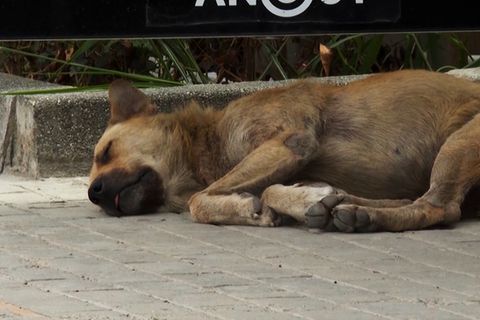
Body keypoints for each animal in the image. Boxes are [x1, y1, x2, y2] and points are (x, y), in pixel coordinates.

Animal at [88, 70, 480, 232]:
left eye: (106, 151)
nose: (94, 194)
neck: (211, 142)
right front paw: (302, 200)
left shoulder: (292, 141)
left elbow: (201, 199)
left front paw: (260, 205)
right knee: (419, 202)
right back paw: (351, 211)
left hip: (458, 144)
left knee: (439, 207)